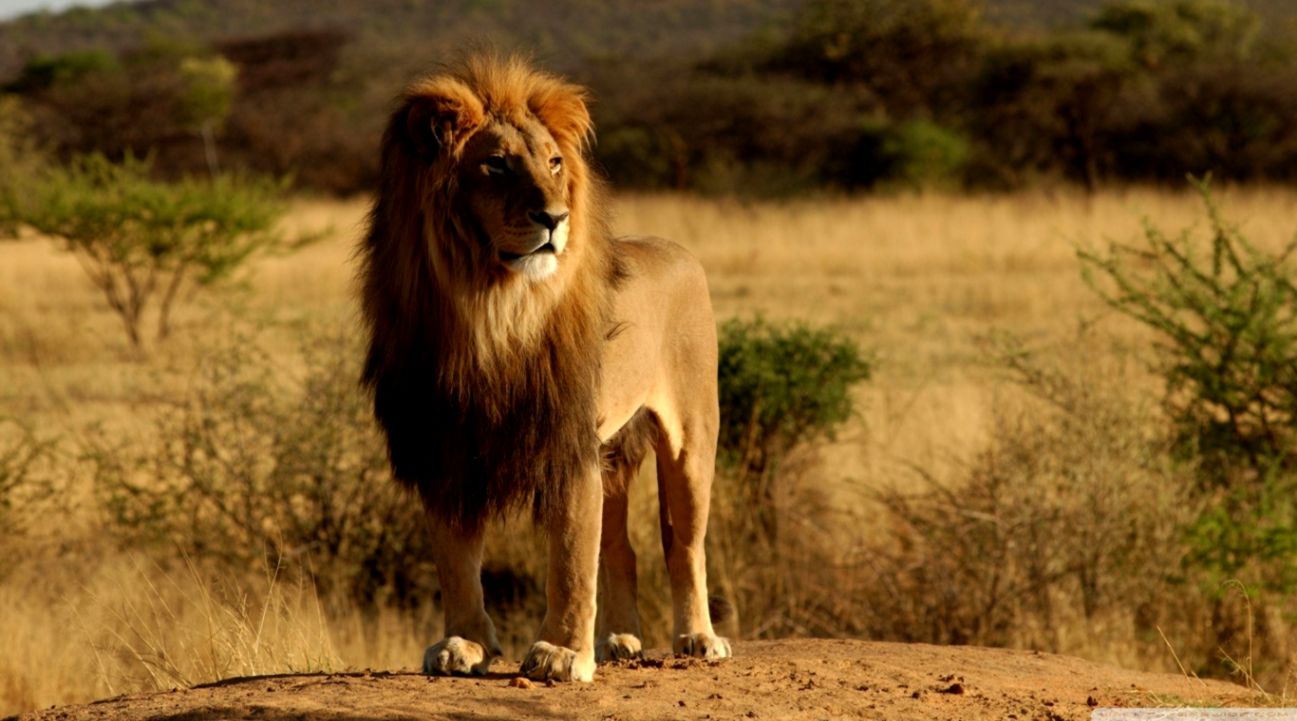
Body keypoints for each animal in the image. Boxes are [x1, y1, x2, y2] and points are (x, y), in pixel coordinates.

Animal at [358, 54, 731, 683]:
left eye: (554, 163)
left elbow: (571, 558)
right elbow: (456, 559)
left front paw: (560, 653)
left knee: (684, 544)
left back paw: (698, 638)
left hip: (691, 439)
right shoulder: (445, 445)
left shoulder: (566, 441)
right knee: (622, 548)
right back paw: (620, 640)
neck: (490, 310)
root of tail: (678, 250)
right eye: (497, 164)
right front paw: (464, 643)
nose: (554, 217)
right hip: (614, 452)